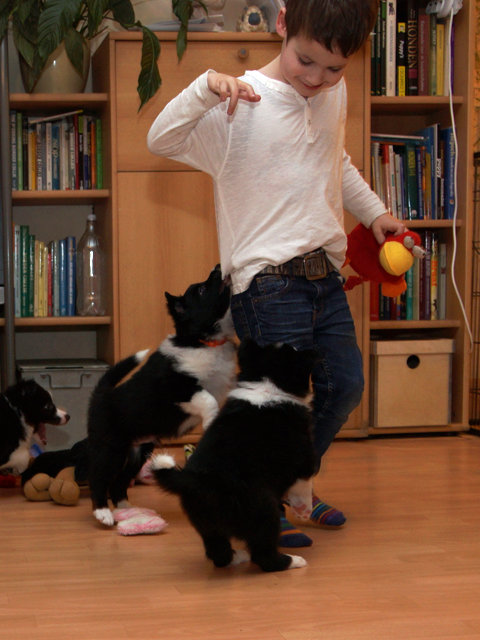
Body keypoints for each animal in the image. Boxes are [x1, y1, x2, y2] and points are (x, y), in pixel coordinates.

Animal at [88, 265, 236, 526]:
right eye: (201, 290)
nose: (218, 267)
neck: (200, 341)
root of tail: (102, 394)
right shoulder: (178, 388)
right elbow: (207, 399)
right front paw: (210, 421)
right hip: (111, 447)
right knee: (99, 477)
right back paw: (103, 512)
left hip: (137, 452)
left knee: (119, 482)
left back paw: (127, 509)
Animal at [151, 339, 317, 573]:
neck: (267, 384)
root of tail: (198, 481)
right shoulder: (304, 456)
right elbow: (305, 483)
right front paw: (304, 510)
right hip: (263, 509)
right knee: (263, 555)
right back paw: (292, 561)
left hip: (205, 522)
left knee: (218, 553)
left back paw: (237, 557)